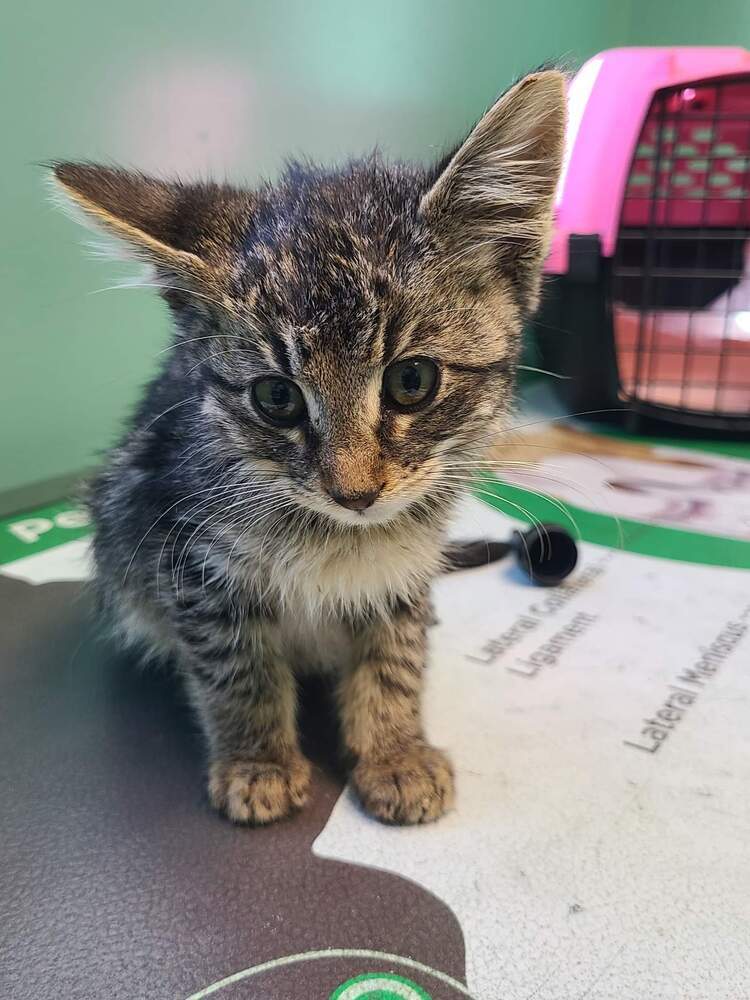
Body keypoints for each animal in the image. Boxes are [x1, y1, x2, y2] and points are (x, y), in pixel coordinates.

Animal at [53, 68, 568, 820]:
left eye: (412, 380)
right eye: (276, 398)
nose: (354, 492)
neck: (339, 537)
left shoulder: (405, 567)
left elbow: (395, 653)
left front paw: (394, 749)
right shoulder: (191, 556)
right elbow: (236, 666)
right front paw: (259, 761)